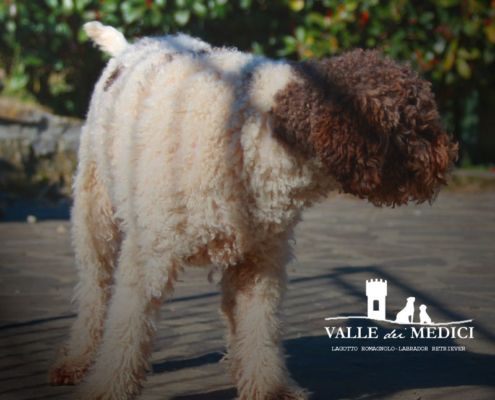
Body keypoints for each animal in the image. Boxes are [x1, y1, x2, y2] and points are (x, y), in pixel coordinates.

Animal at [48, 21, 460, 400]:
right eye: (419, 125)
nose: (451, 157)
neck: (254, 129)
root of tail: (133, 45)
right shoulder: (148, 257)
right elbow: (126, 333)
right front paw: (106, 388)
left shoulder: (260, 262)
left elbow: (260, 328)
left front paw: (269, 388)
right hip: (94, 207)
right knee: (95, 288)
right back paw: (77, 358)